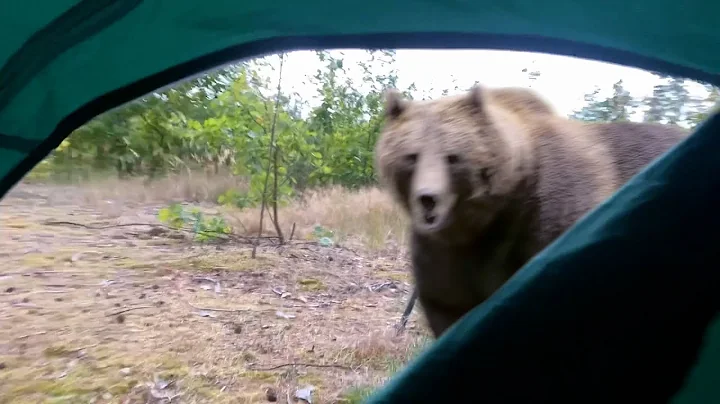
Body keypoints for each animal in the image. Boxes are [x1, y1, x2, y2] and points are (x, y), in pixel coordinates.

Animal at [375, 85, 690, 338]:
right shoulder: (446, 252)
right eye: (411, 156)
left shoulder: (554, 212)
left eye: (453, 157)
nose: (428, 199)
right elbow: (449, 303)